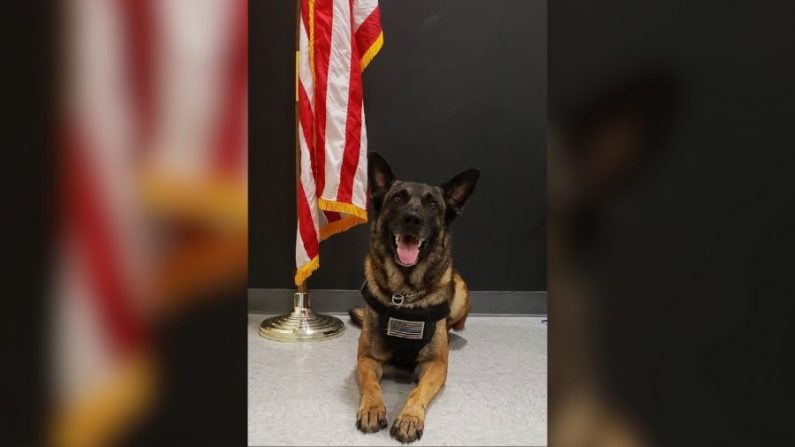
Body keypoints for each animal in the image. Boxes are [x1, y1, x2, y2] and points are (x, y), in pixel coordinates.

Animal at [350, 153, 478, 444]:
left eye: (432, 204)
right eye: (398, 198)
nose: (412, 219)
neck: (404, 296)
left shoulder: (436, 365)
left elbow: (417, 392)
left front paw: (409, 417)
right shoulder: (367, 358)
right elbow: (371, 385)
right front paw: (372, 408)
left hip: (461, 292)